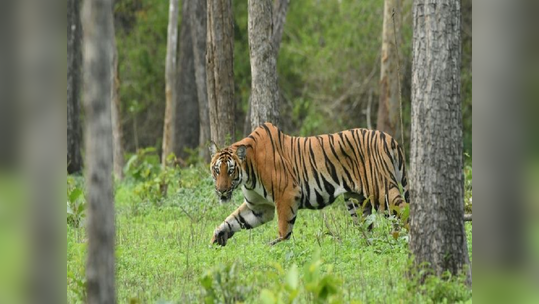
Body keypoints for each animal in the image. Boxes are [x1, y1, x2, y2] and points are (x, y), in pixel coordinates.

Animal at [210, 122, 410, 246]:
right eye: (217, 170)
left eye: (230, 171)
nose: (221, 191)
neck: (248, 173)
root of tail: (389, 138)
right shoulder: (259, 207)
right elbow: (234, 219)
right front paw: (217, 237)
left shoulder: (287, 195)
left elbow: (284, 231)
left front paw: (273, 247)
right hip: (356, 202)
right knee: (369, 227)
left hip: (382, 190)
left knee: (403, 212)